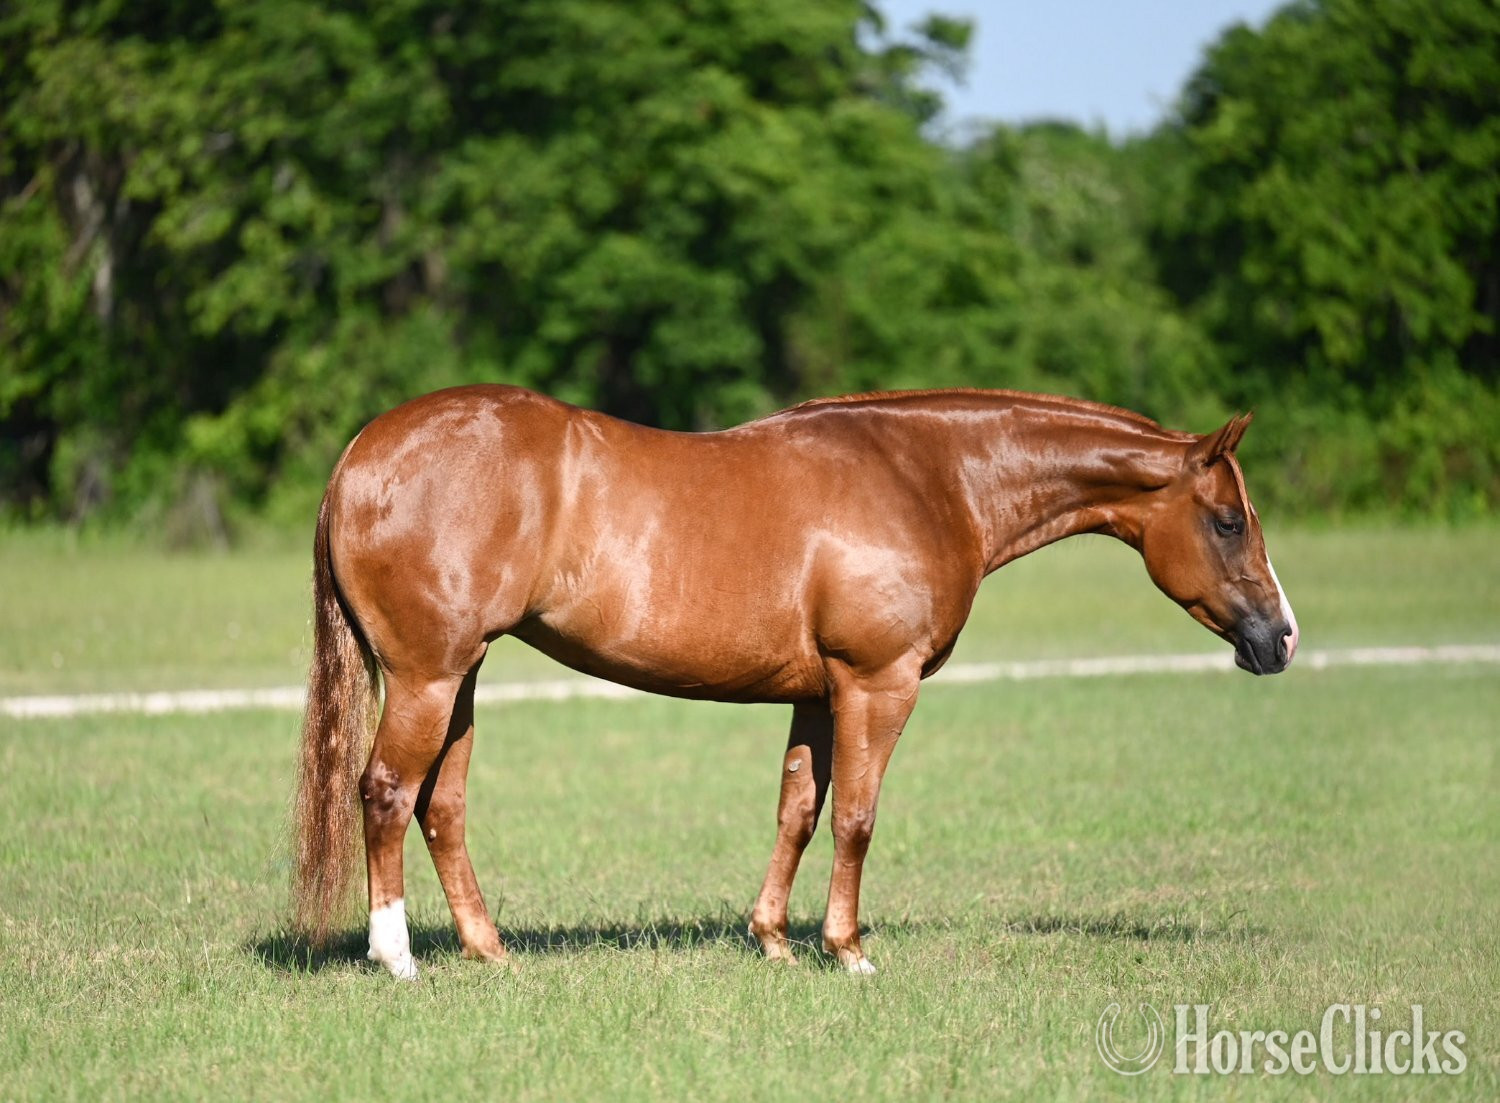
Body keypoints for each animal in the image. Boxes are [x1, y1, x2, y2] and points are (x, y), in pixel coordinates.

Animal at [291, 385, 1298, 978]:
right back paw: (396, 957)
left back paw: (490, 949)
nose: (1281, 639)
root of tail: (359, 455)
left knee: (441, 805)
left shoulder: (817, 693)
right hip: (429, 677)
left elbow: (799, 811)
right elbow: (856, 815)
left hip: (460, 680)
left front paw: (772, 937)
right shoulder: (878, 684)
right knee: (385, 791)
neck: (927, 476)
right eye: (1228, 520)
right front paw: (846, 950)